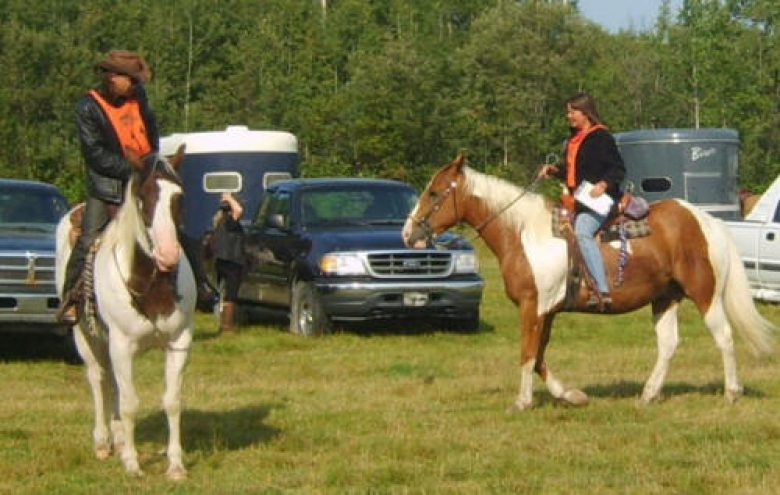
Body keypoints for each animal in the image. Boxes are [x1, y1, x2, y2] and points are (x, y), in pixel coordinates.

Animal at [55, 145, 195, 478]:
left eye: (179, 196)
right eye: (144, 197)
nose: (168, 254)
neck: (150, 283)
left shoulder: (179, 342)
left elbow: (172, 401)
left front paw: (175, 465)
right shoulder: (121, 343)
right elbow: (130, 402)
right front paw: (132, 463)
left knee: (114, 385)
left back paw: (118, 439)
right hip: (87, 336)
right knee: (99, 379)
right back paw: (104, 442)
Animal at [402, 155, 772, 410]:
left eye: (434, 192)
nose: (408, 233)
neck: (524, 233)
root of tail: (706, 221)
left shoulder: (532, 307)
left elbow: (527, 353)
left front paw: (522, 402)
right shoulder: (547, 311)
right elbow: (539, 356)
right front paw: (572, 395)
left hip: (705, 293)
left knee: (723, 336)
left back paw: (731, 392)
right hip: (666, 297)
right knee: (668, 344)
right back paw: (648, 394)